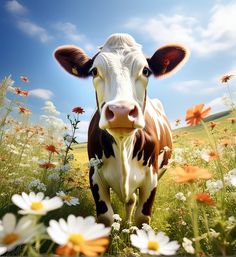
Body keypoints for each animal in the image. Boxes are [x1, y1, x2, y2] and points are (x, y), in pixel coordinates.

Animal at [54, 32, 189, 226]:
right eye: (94, 71)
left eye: (146, 70)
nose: (121, 111)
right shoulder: (95, 175)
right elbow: (106, 217)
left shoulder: (152, 177)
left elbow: (143, 217)